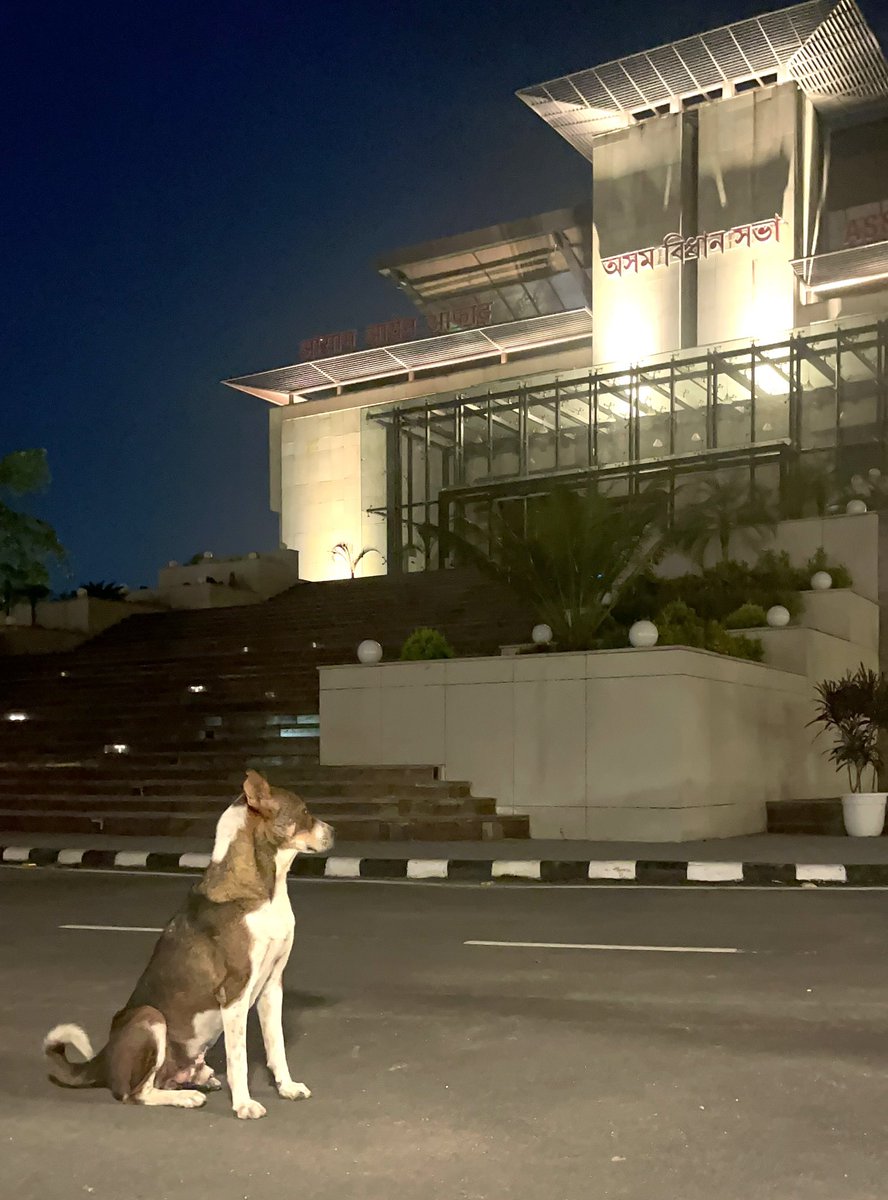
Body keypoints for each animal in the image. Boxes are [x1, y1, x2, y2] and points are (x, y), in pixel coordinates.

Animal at [42, 772, 333, 1118]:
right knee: (135, 1094)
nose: (334, 832)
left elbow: (276, 1047)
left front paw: (286, 1087)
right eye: (304, 811)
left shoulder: (272, 985)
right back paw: (187, 1097)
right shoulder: (234, 994)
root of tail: (101, 1061)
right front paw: (244, 1104)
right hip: (149, 1018)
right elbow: (238, 1061)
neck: (265, 890)